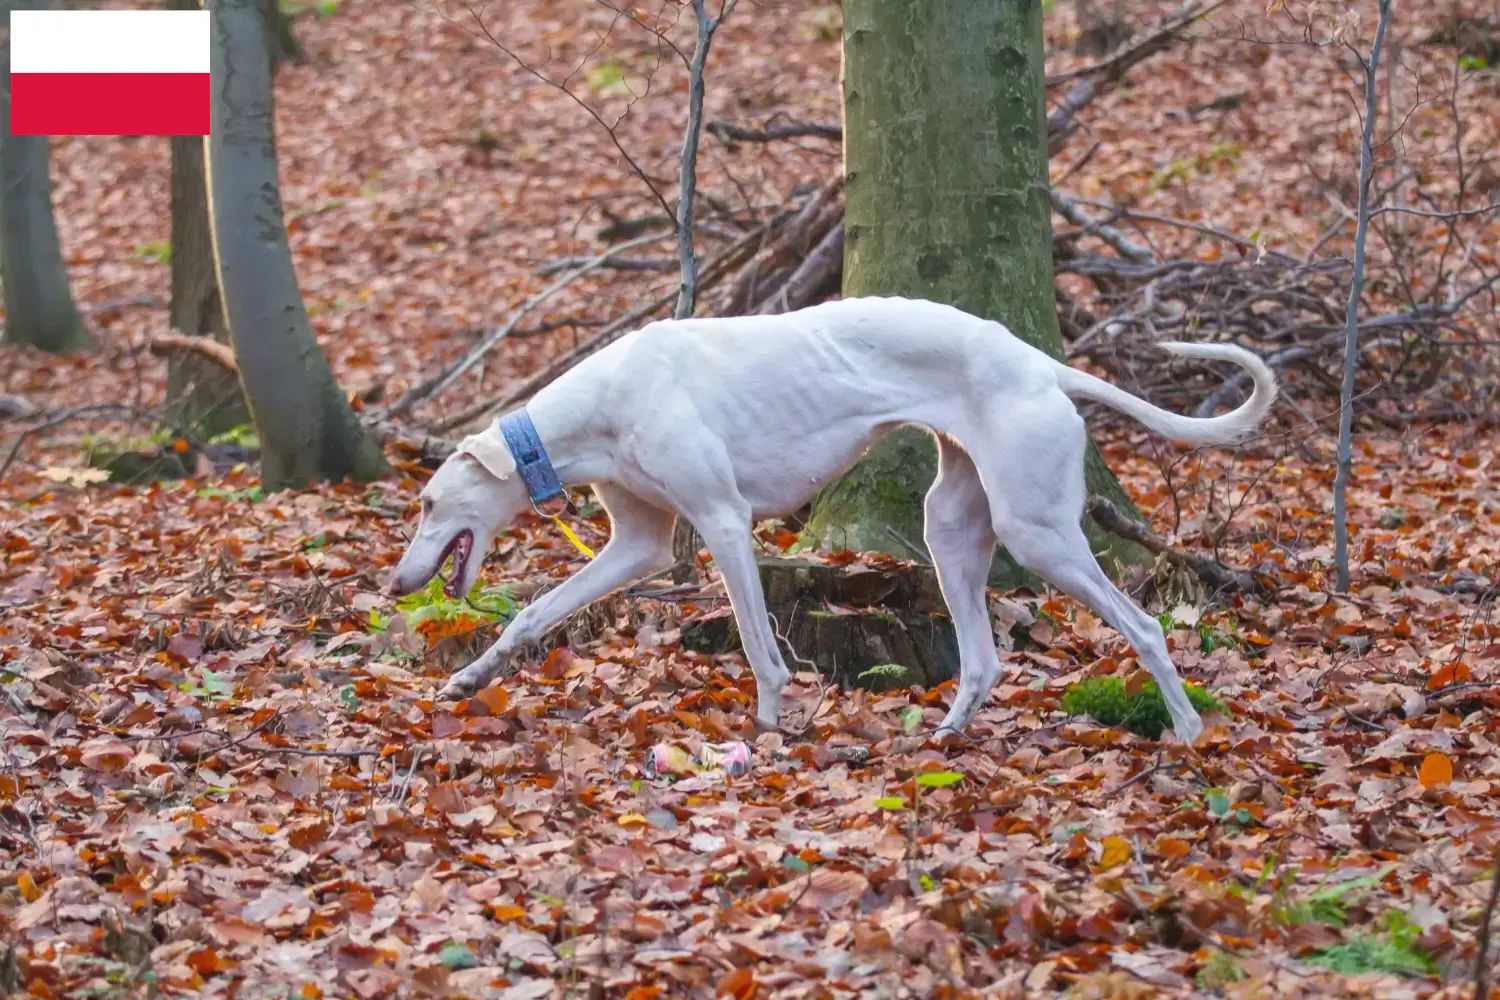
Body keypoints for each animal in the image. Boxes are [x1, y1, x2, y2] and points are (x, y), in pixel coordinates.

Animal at [381, 296, 1272, 743]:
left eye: (427, 503)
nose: (394, 585)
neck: (602, 404)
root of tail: (1037, 360)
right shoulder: (637, 544)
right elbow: (532, 611)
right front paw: (469, 677)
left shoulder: (723, 521)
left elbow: (757, 647)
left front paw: (769, 728)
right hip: (953, 528)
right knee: (984, 660)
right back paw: (942, 737)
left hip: (1038, 532)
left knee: (1145, 626)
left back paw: (1188, 727)